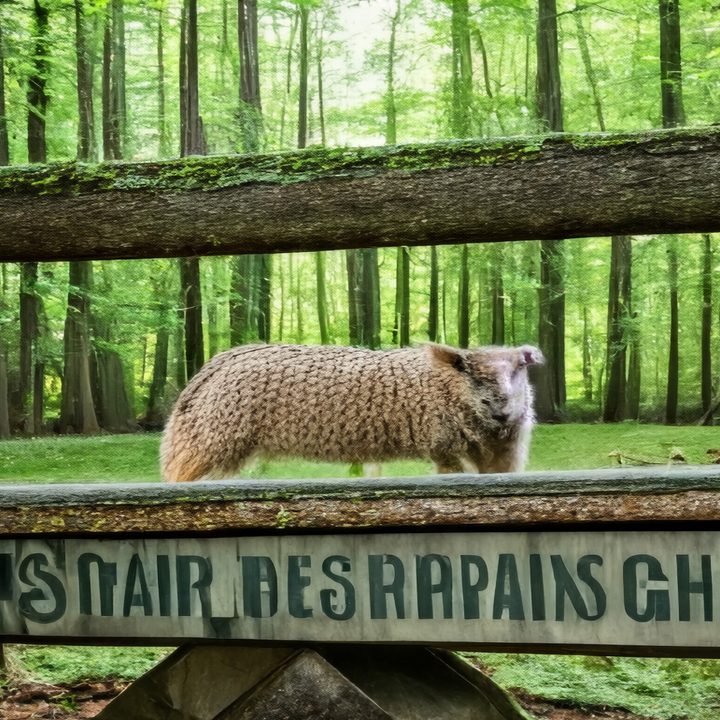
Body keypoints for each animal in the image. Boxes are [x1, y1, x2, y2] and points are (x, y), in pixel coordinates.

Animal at [160, 342, 543, 482]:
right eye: (470, 374)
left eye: (518, 369)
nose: (500, 409)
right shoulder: (447, 450)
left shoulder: (496, 459)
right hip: (209, 446)